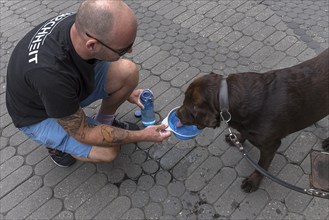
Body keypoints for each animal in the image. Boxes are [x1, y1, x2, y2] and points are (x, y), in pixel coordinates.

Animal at [177, 48, 328, 192]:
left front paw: (253, 181)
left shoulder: (270, 146)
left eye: (190, 108)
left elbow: (261, 165)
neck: (227, 97)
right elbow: (243, 134)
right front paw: (237, 138)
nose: (177, 114)